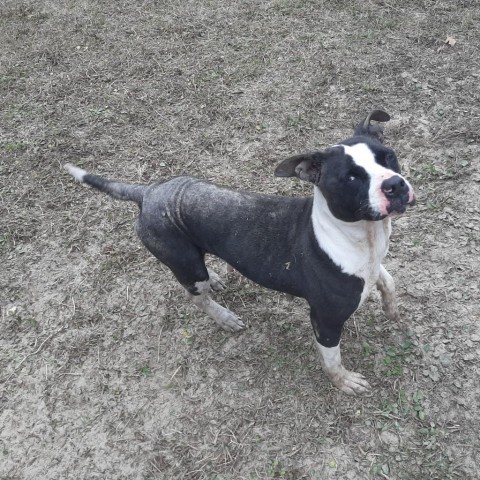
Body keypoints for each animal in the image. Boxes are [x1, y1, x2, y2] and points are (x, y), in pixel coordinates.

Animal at [64, 111, 416, 394]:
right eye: (351, 177)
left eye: (388, 157)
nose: (395, 185)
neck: (363, 237)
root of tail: (148, 192)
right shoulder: (325, 321)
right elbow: (332, 360)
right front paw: (343, 382)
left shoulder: (372, 266)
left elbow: (389, 280)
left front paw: (391, 309)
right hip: (185, 263)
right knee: (195, 296)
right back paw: (224, 317)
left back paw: (217, 279)